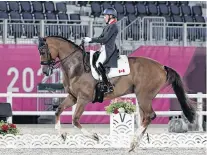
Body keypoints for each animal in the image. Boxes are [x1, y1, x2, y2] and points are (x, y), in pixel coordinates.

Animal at [37, 35, 196, 152]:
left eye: (43, 51)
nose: (45, 71)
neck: (77, 66)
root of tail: (162, 66)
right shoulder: (73, 97)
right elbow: (58, 111)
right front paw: (62, 135)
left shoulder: (83, 98)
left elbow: (75, 120)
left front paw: (95, 137)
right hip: (143, 97)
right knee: (146, 117)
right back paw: (135, 144)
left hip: (144, 96)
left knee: (150, 116)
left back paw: (132, 143)